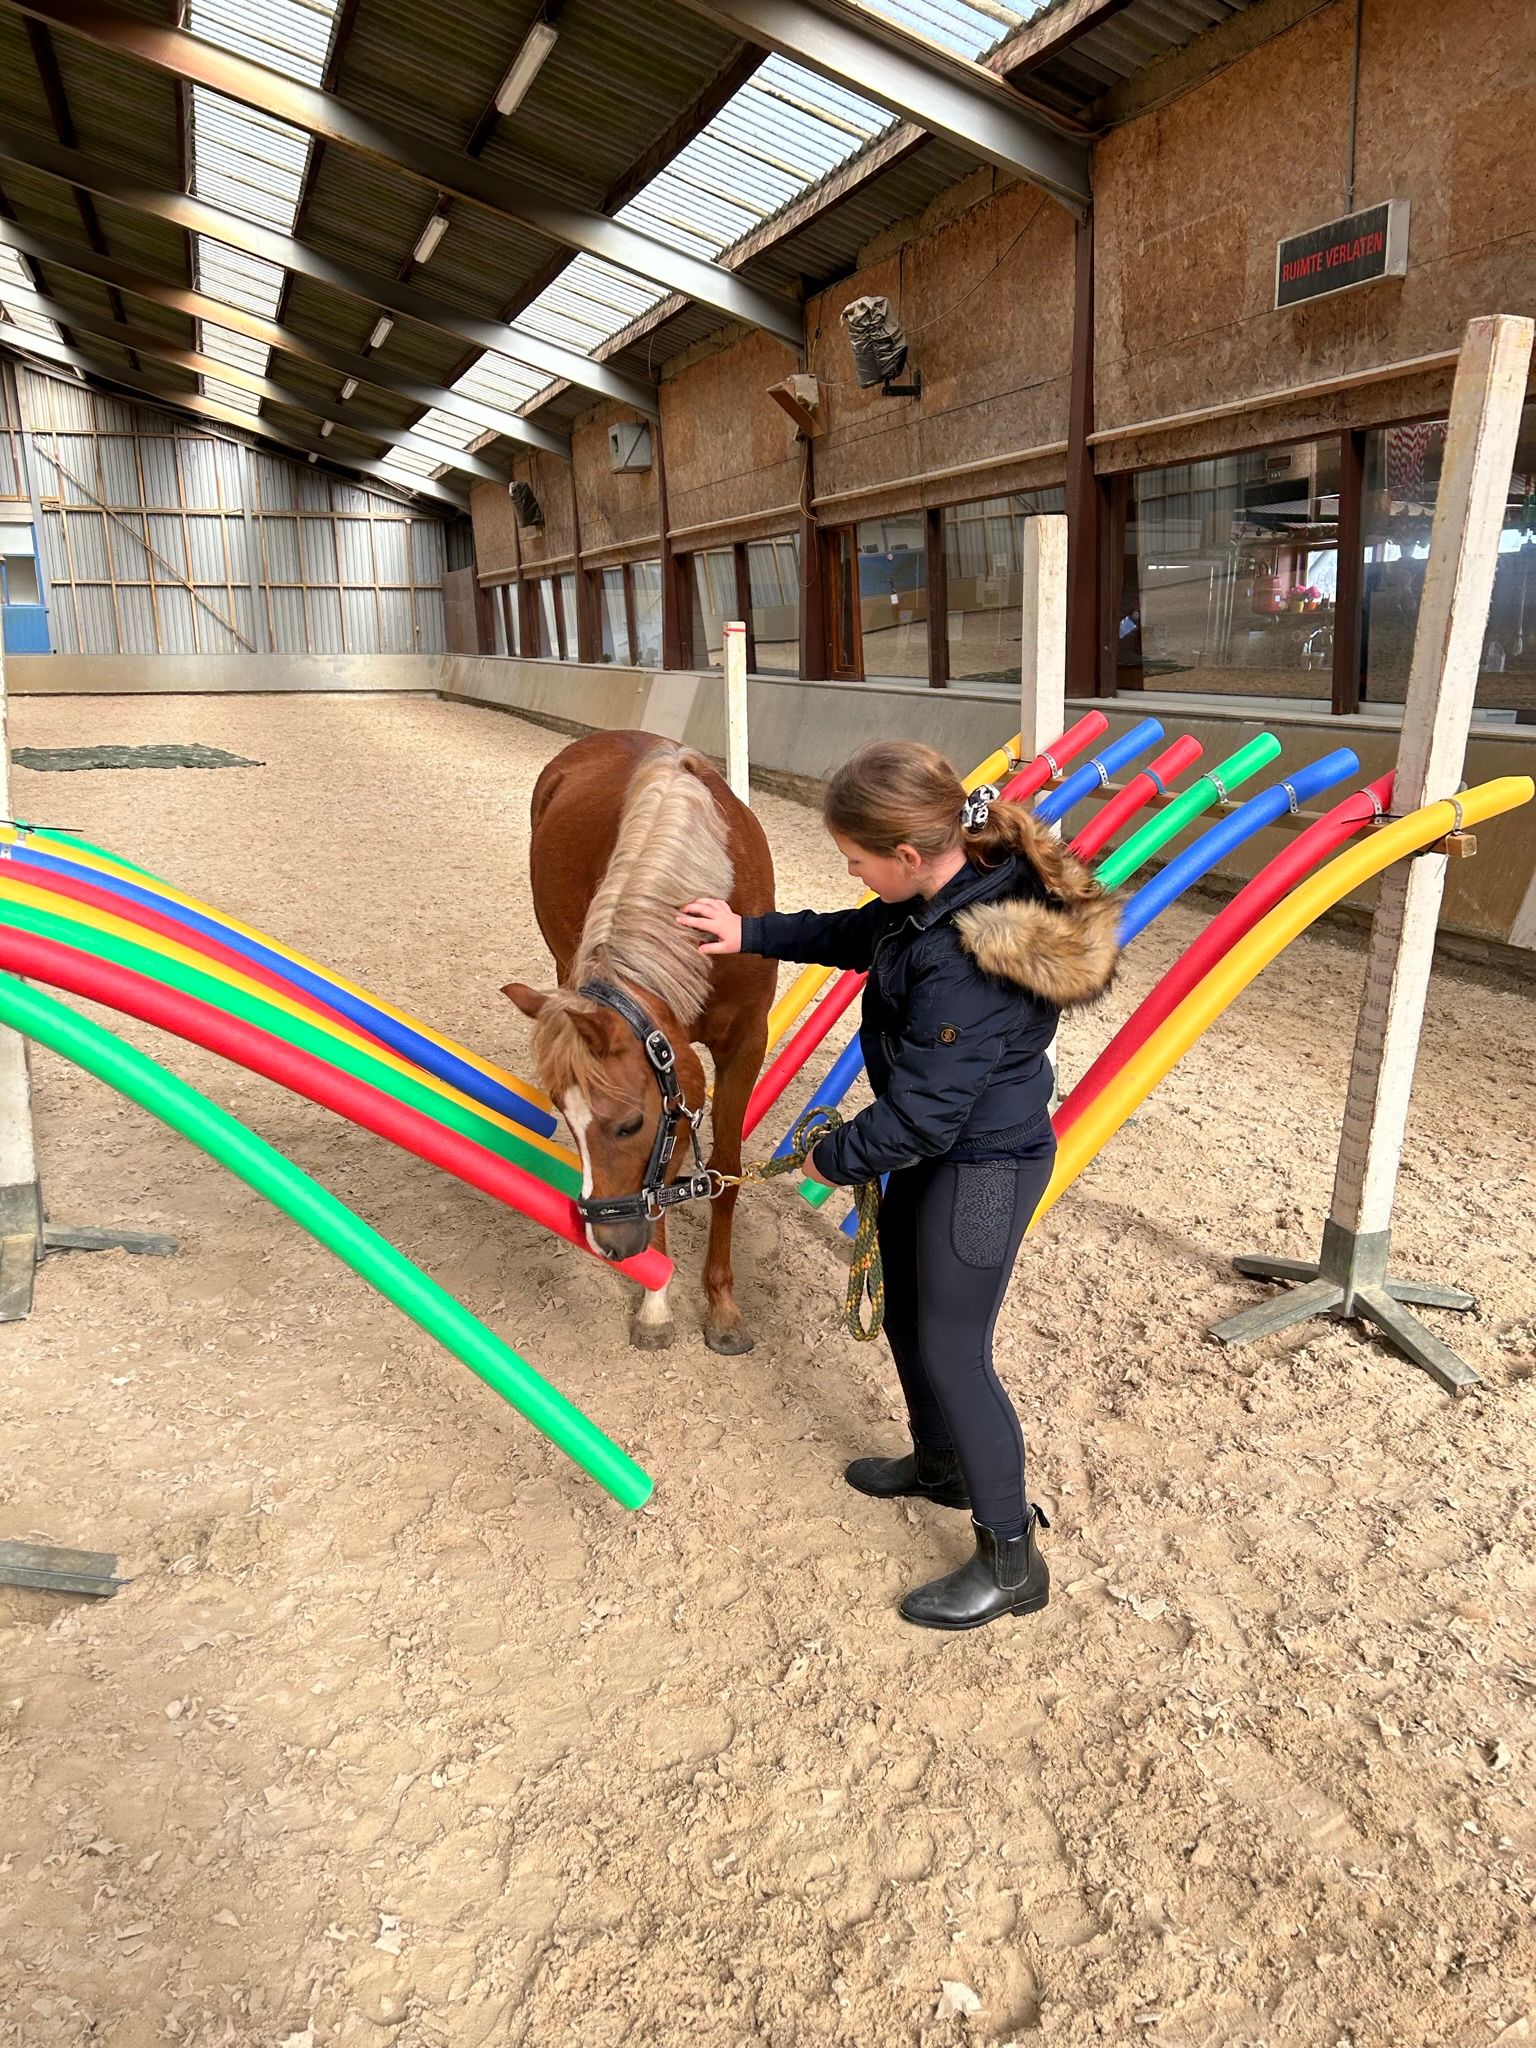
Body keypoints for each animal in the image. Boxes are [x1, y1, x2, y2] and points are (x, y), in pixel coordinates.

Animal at [502, 730, 776, 1355]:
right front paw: (656, 1302)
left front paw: (722, 1309)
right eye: (566, 1119)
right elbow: (670, 1179)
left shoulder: (747, 1042)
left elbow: (724, 1171)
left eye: (628, 1125)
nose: (608, 1244)